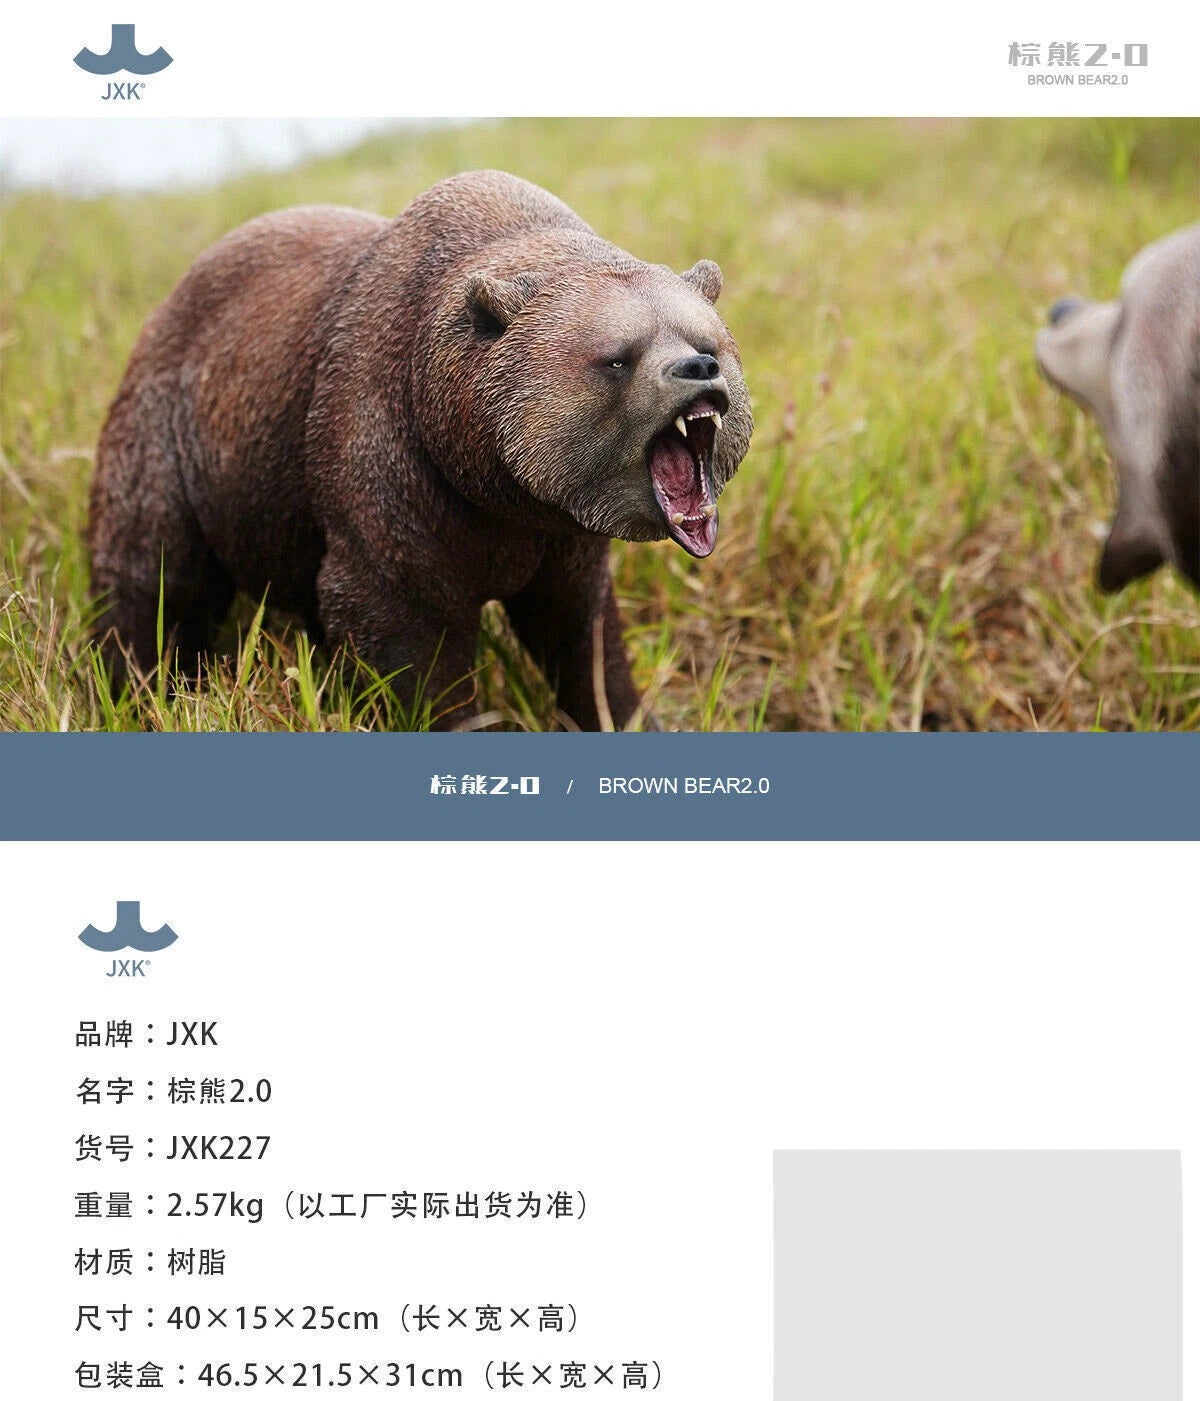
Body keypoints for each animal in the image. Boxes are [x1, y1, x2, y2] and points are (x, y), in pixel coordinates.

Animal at [87, 170, 753, 729]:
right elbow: (405, 631)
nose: (698, 369)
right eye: (618, 357)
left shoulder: (562, 536)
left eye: (707, 341)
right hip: (173, 432)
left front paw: (625, 715)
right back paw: (130, 687)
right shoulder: (392, 469)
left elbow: (579, 634)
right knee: (151, 571)